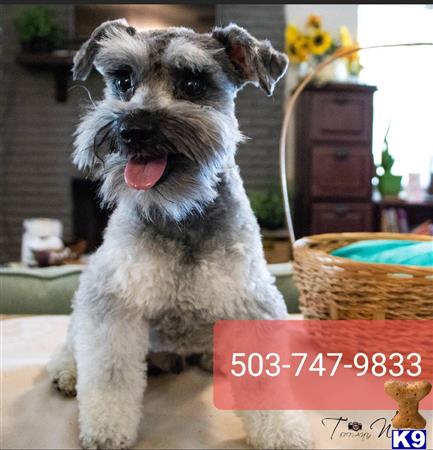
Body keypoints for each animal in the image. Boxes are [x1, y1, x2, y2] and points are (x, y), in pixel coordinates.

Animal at [47, 19, 310, 450]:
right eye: (123, 81)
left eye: (192, 83)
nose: (132, 130)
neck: (180, 213)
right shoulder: (113, 301)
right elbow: (108, 374)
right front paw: (106, 429)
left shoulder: (250, 303)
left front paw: (282, 432)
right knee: (70, 344)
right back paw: (66, 373)